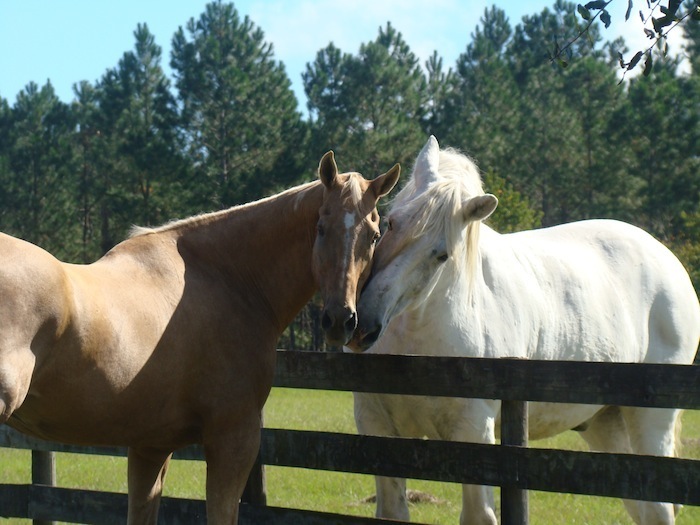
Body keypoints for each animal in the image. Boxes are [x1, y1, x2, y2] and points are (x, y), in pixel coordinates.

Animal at [0, 150, 399, 524]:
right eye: (321, 227)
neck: (226, 278)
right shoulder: (233, 439)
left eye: (374, 235)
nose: (339, 320)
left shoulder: (150, 446)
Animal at [348, 136, 700, 525]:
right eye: (391, 223)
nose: (365, 324)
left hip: (650, 422)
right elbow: (392, 509)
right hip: (606, 425)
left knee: (658, 508)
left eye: (441, 255)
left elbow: (479, 515)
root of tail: (669, 261)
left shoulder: (474, 433)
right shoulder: (378, 427)